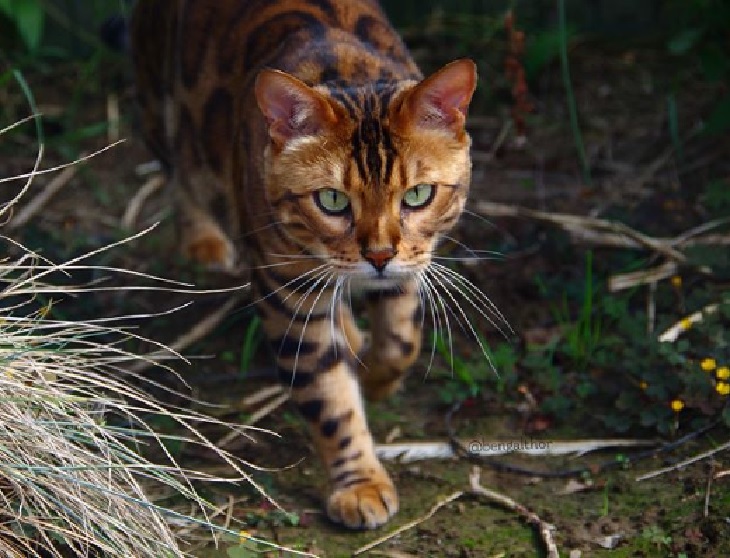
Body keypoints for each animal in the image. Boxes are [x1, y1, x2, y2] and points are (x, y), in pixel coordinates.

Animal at [132, 0, 478, 532]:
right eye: (332, 200)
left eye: (418, 195)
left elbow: (401, 339)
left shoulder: (411, 263)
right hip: (160, 102)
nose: (378, 255)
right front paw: (360, 485)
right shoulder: (286, 291)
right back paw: (202, 241)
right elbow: (329, 397)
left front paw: (376, 376)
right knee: (179, 170)